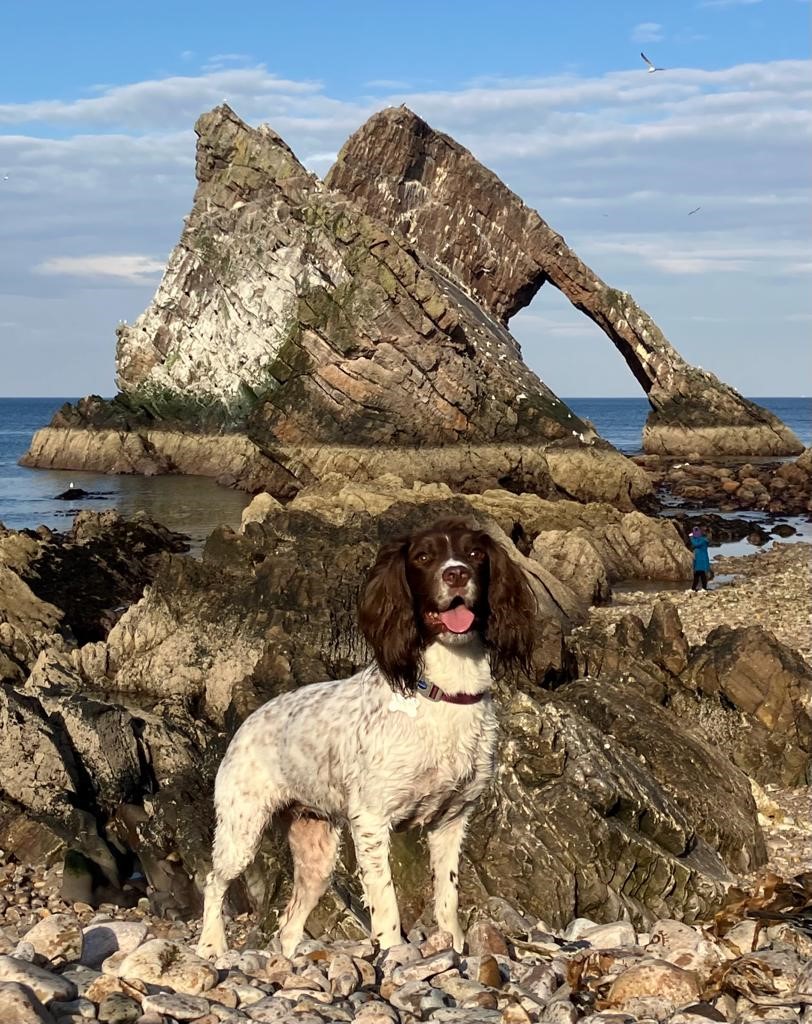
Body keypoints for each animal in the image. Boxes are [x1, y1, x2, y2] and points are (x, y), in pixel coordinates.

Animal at [196, 520, 536, 958]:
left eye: (474, 554)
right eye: (423, 557)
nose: (456, 574)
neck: (442, 693)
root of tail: (247, 722)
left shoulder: (452, 820)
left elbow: (448, 898)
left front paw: (457, 950)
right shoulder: (373, 821)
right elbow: (387, 901)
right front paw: (393, 953)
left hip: (317, 856)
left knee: (288, 925)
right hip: (242, 831)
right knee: (213, 882)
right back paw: (211, 943)